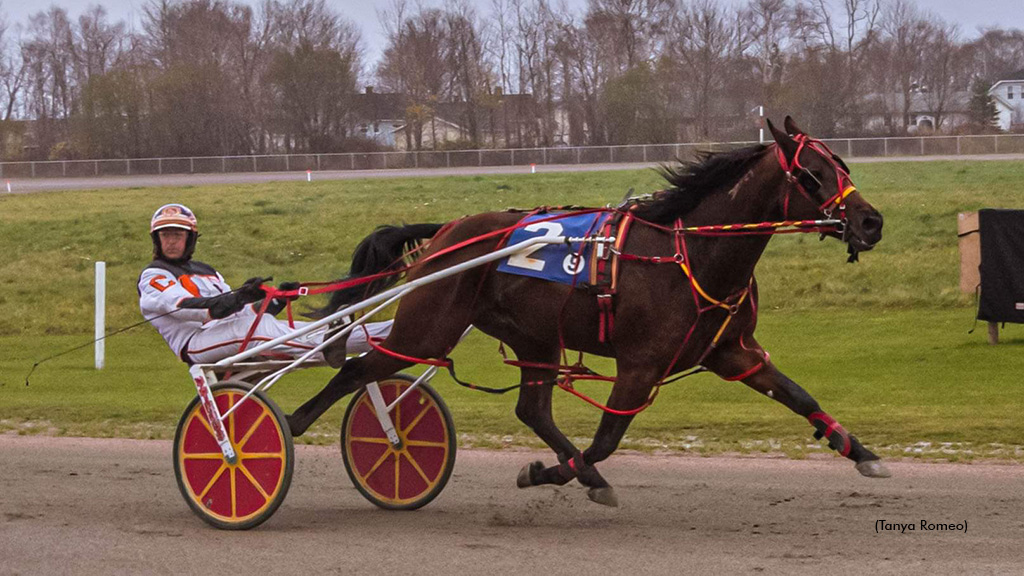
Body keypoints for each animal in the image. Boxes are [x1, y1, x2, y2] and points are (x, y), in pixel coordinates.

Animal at [286, 116, 888, 502]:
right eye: (812, 173)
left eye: (841, 162)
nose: (870, 221)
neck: (692, 251)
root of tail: (448, 232)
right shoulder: (640, 364)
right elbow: (606, 440)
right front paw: (556, 475)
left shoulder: (733, 352)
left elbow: (799, 395)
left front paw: (859, 450)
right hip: (426, 330)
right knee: (357, 369)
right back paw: (290, 424)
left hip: (535, 338)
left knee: (531, 410)